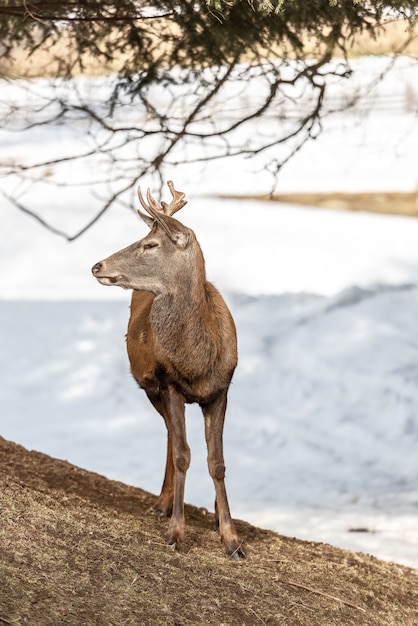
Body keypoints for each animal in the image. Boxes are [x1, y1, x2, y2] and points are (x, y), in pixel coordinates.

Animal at [91, 179, 245, 556]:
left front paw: (231, 537)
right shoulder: (170, 384)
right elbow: (183, 455)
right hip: (150, 386)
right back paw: (163, 503)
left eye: (150, 243)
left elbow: (217, 462)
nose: (97, 266)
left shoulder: (222, 389)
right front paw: (177, 532)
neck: (197, 363)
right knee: (172, 440)